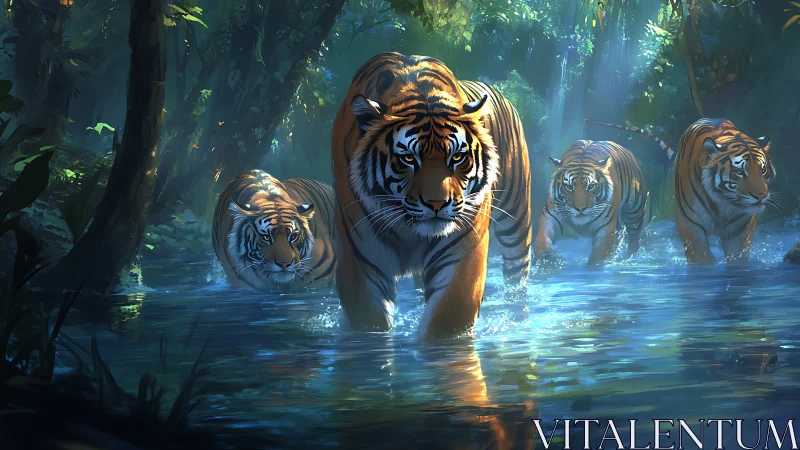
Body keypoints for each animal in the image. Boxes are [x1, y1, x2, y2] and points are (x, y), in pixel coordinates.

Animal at [331, 52, 532, 341]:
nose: (437, 204)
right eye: (407, 158)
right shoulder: (361, 262)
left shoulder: (462, 253)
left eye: (457, 157)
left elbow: (445, 322)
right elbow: (370, 322)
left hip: (516, 222)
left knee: (517, 275)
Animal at [585, 118, 775, 264]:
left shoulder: (741, 226)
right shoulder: (690, 221)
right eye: (739, 172)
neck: (724, 202)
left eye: (763, 170)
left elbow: (737, 257)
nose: (761, 196)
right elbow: (701, 257)